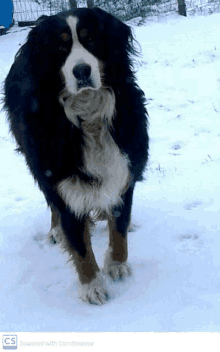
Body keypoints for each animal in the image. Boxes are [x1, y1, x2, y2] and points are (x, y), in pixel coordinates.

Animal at [4, 7, 150, 306]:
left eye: (91, 39)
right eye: (61, 47)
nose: (81, 70)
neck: (88, 115)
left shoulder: (125, 166)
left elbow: (119, 225)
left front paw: (117, 264)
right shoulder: (58, 176)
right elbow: (80, 245)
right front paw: (92, 285)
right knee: (52, 202)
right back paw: (56, 230)